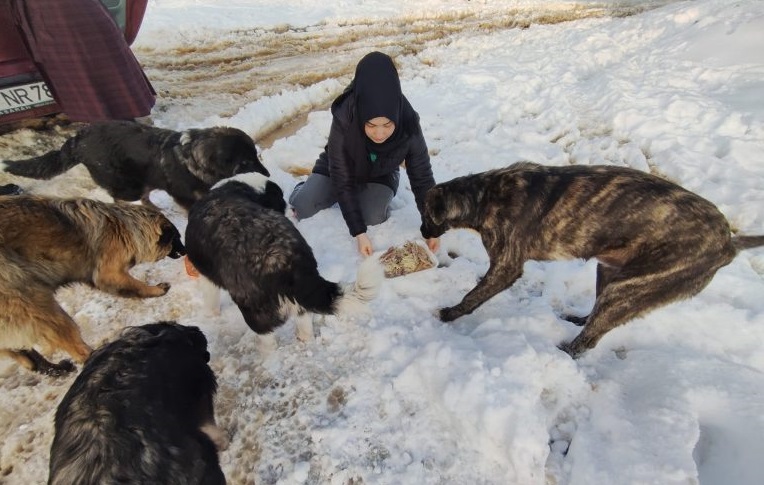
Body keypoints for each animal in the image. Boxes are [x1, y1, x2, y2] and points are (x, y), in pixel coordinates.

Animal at [0, 194, 185, 374]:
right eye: (177, 238)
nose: (185, 252)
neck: (124, 226)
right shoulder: (109, 273)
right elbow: (136, 285)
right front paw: (157, 290)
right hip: (38, 306)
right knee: (76, 348)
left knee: (27, 357)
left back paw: (58, 369)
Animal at [1, 120, 270, 209]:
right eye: (246, 161)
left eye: (257, 155)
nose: (267, 174)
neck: (192, 158)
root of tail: (78, 139)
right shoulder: (184, 196)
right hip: (127, 185)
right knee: (120, 199)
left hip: (144, 180)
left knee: (145, 196)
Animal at [184, 174, 384, 340]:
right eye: (279, 199)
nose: (294, 209)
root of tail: (288, 259)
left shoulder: (207, 277)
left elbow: (210, 299)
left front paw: (210, 316)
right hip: (299, 296)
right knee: (304, 320)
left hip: (254, 308)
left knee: (266, 336)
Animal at [420, 163, 764, 356]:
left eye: (425, 214)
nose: (423, 231)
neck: (485, 195)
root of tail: (729, 243)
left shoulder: (506, 267)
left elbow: (473, 296)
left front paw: (449, 313)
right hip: (609, 272)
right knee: (595, 319)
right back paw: (579, 319)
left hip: (630, 287)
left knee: (588, 342)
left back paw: (564, 352)